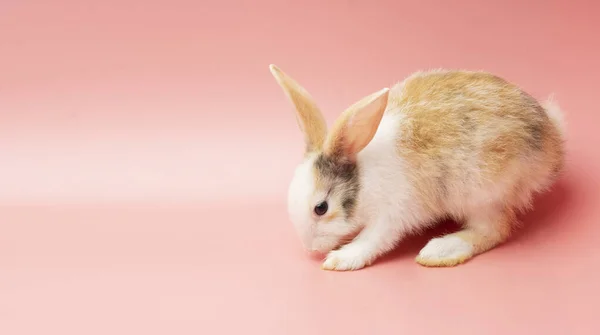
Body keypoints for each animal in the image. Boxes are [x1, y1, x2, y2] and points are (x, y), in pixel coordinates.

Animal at [270, 64, 564, 272]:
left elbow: (373, 239)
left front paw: (341, 259)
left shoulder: (392, 213)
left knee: (494, 230)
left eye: (321, 208)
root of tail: (552, 139)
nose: (310, 249)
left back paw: (440, 250)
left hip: (482, 195)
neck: (363, 179)